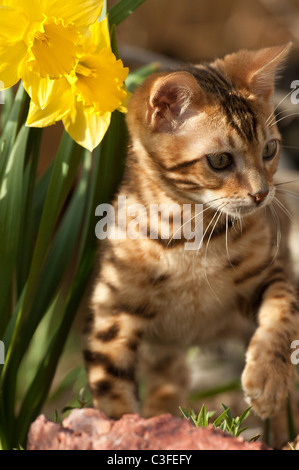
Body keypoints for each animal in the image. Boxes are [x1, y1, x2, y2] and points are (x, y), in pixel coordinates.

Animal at [84, 44, 299, 422]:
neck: (190, 239)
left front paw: (268, 378)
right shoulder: (113, 315)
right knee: (171, 380)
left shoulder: (269, 273)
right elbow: (113, 396)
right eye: (219, 160)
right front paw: (121, 425)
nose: (262, 194)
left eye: (270, 150)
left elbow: (283, 311)